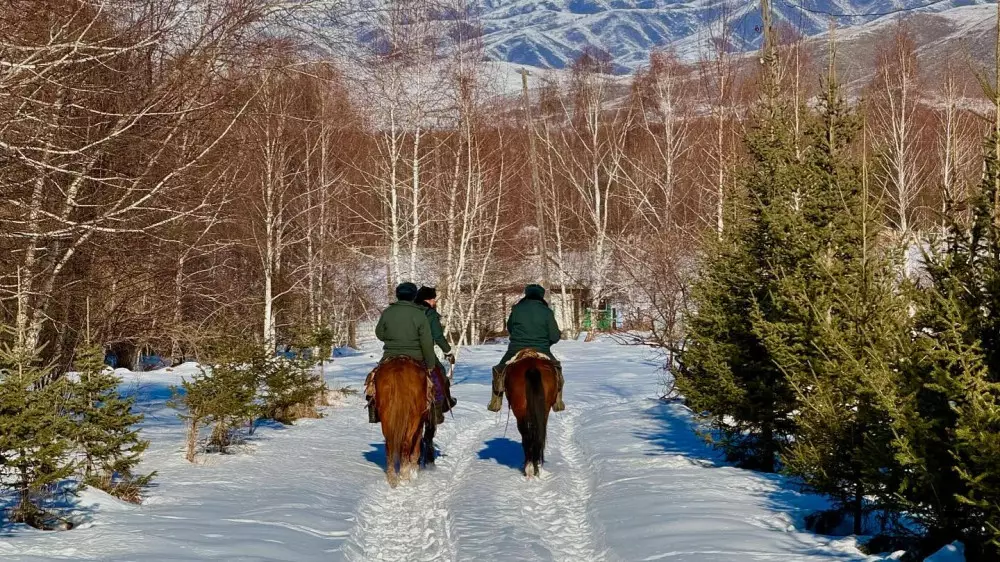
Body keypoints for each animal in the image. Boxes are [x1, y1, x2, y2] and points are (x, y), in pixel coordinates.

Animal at [374, 356, 436, 484]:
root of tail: (398, 370)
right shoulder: (420, 424)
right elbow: (416, 448)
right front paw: (414, 471)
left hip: (386, 416)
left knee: (389, 444)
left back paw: (392, 477)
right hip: (414, 419)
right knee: (406, 443)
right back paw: (405, 474)